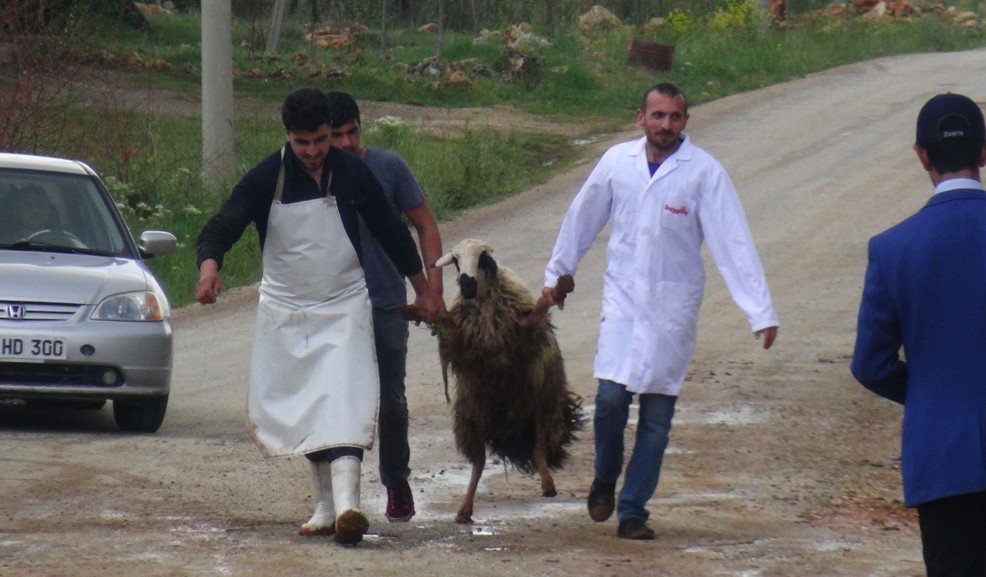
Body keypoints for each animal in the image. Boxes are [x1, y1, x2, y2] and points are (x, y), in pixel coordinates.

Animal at [404, 238, 580, 520]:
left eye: (483, 257)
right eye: (455, 260)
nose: (466, 285)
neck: (485, 302)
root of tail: (508, 429)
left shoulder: (522, 331)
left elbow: (539, 311)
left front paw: (560, 287)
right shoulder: (463, 344)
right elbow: (443, 321)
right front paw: (415, 310)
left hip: (542, 404)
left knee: (538, 447)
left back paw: (548, 484)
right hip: (472, 416)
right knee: (479, 462)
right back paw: (464, 509)